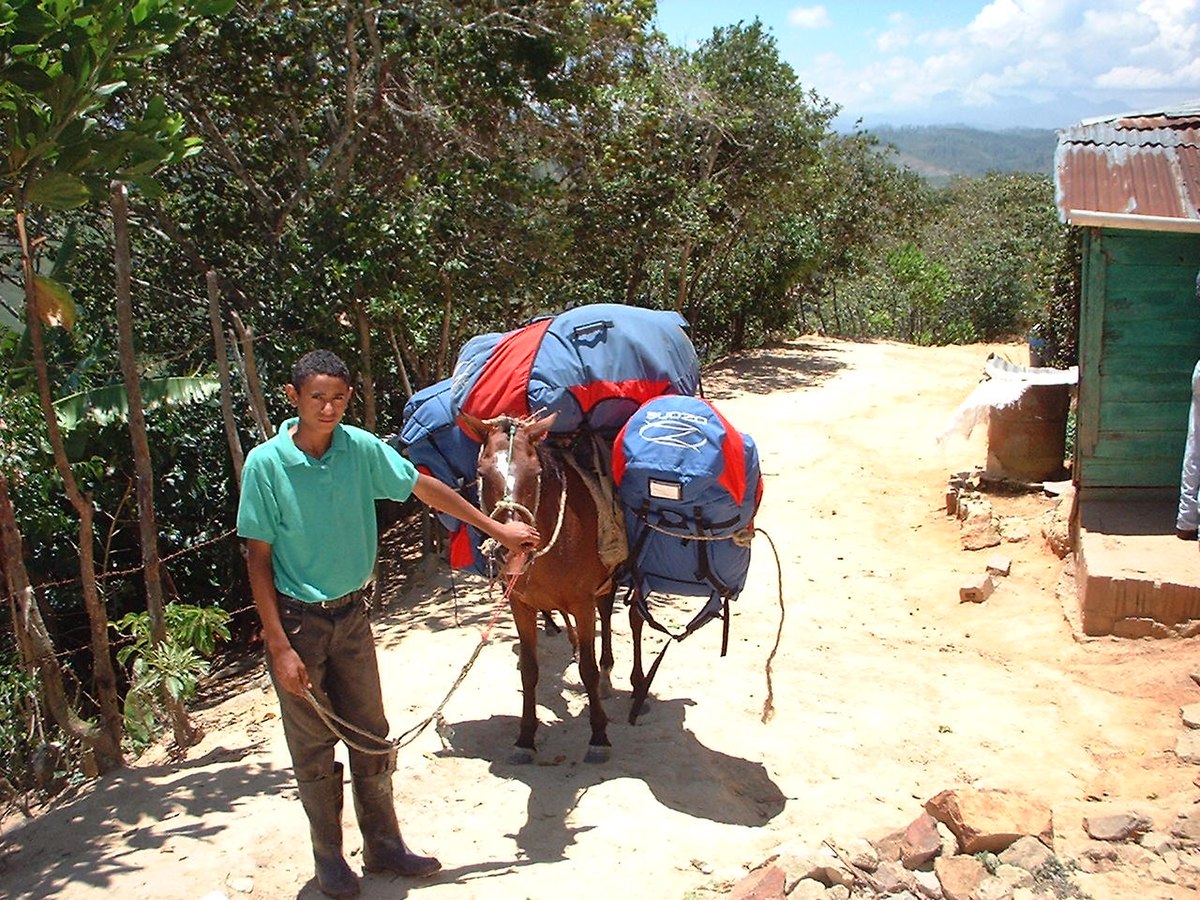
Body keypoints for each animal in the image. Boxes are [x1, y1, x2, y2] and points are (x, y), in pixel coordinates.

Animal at [463, 415, 619, 763]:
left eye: (535, 473)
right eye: (481, 473)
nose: (514, 545)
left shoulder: (584, 603)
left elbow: (588, 670)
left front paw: (599, 735)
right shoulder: (520, 605)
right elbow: (529, 671)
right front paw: (525, 738)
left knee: (605, 615)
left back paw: (606, 675)